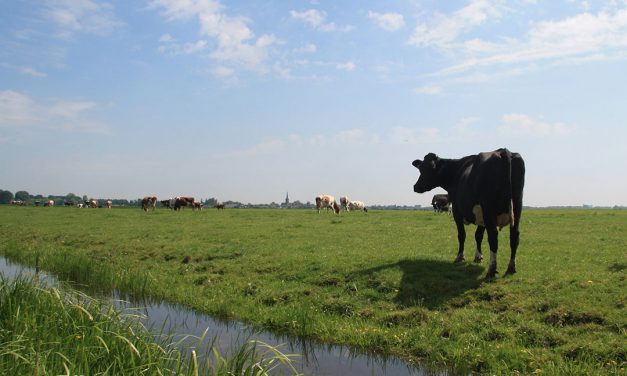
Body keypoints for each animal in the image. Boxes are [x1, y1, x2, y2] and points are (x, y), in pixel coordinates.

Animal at [414, 148, 528, 278]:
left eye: (430, 168)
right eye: (420, 168)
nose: (416, 187)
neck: (456, 172)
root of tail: (503, 151)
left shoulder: (457, 211)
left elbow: (461, 235)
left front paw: (460, 257)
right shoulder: (481, 214)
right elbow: (478, 235)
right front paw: (478, 256)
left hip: (488, 208)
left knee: (493, 237)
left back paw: (491, 270)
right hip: (517, 206)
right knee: (514, 236)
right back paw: (511, 268)